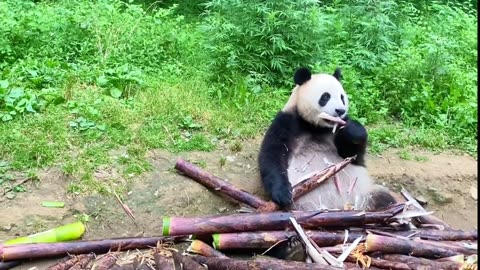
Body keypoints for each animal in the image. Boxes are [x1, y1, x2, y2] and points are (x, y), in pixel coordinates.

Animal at [258, 67, 398, 262]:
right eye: (325, 97)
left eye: (342, 97)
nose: (340, 110)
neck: (316, 127)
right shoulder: (287, 122)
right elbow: (271, 156)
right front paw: (283, 192)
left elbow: (353, 154)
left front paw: (354, 130)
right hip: (291, 210)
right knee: (270, 227)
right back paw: (291, 249)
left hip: (364, 198)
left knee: (385, 200)